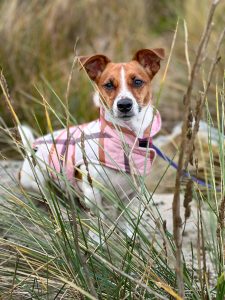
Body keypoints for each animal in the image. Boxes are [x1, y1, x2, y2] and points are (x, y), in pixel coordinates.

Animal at [18, 48, 165, 241]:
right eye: (108, 85)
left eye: (138, 81)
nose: (124, 104)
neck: (124, 140)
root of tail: (31, 148)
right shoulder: (92, 193)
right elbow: (98, 220)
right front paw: (97, 240)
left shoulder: (131, 194)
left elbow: (123, 217)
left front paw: (128, 236)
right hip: (37, 182)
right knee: (50, 202)